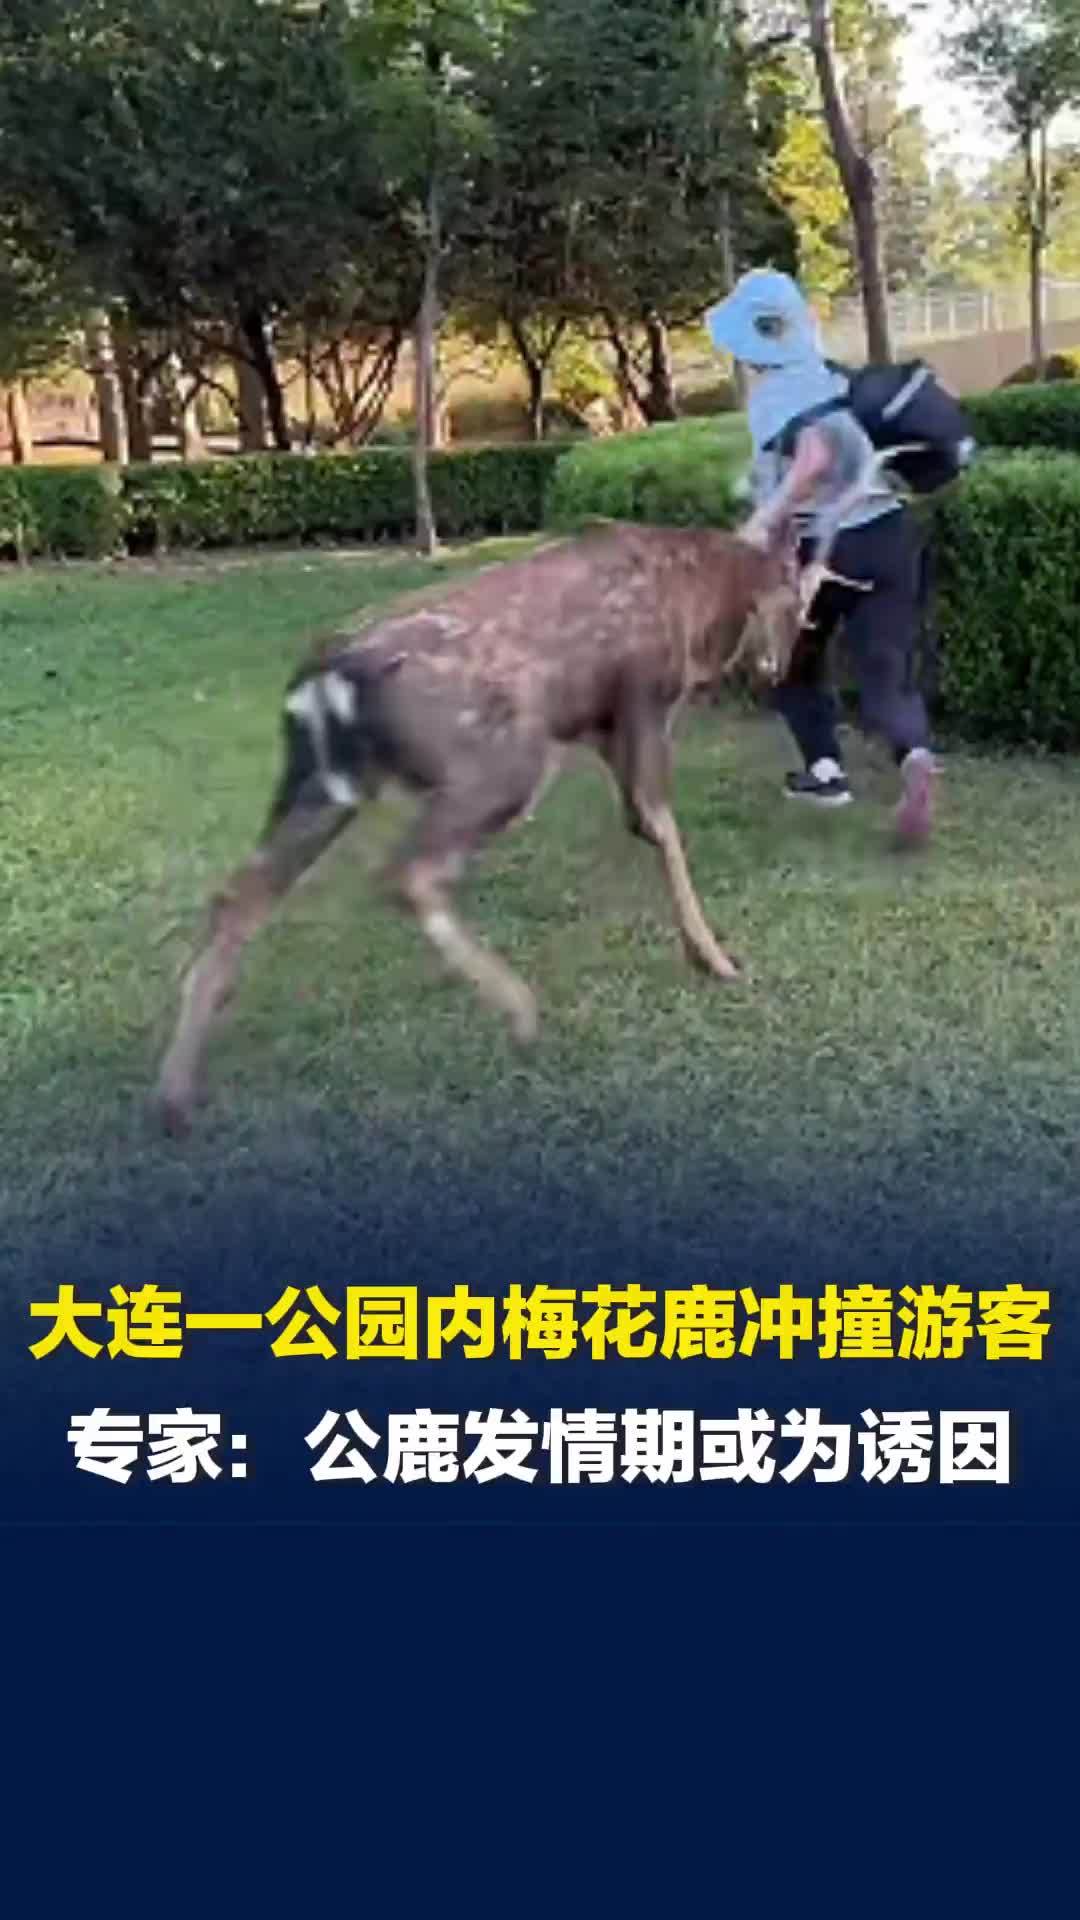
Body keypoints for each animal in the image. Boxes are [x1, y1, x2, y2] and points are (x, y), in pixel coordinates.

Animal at [153, 423, 886, 1135]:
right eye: (799, 599)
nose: (774, 670)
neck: (696, 602)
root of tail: (324, 682)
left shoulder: (596, 725)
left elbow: (644, 823)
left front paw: (707, 954)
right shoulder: (642, 694)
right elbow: (659, 821)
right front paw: (718, 960)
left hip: (322, 785)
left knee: (239, 895)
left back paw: (176, 1095)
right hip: (500, 761)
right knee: (408, 871)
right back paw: (521, 1014)